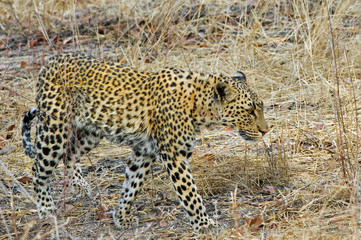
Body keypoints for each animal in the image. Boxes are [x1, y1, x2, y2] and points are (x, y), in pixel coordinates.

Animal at [21, 51, 268, 232]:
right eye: (250, 111)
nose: (265, 131)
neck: (200, 108)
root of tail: (51, 61)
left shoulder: (144, 151)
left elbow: (132, 185)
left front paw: (121, 217)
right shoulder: (174, 156)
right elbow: (190, 193)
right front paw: (205, 224)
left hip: (91, 132)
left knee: (70, 153)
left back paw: (80, 186)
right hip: (54, 130)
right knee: (38, 169)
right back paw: (46, 209)